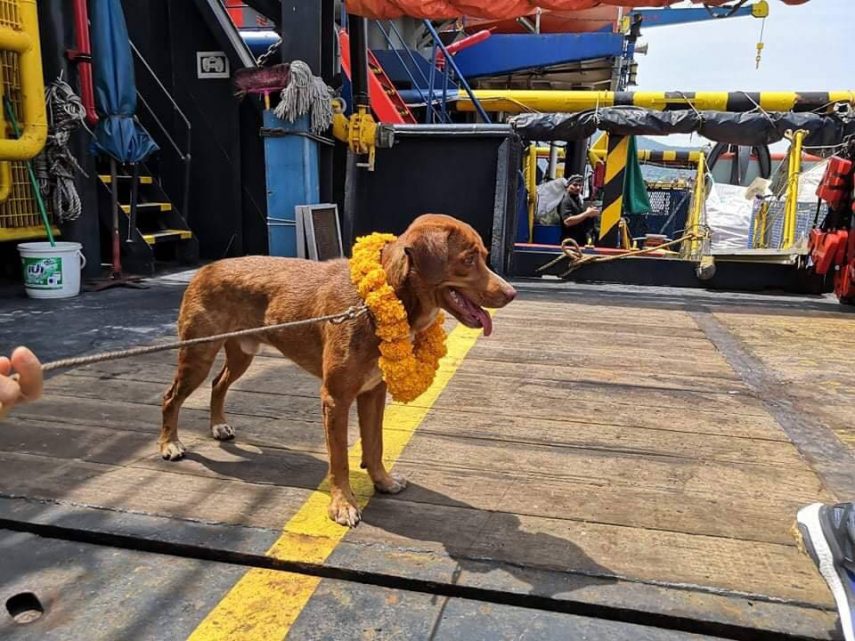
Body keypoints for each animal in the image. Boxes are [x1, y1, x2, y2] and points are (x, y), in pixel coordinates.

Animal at [162, 215, 516, 524]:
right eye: (468, 259)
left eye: (485, 257)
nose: (511, 293)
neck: (377, 301)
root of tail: (205, 268)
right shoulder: (336, 398)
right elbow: (340, 460)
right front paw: (343, 505)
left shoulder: (373, 392)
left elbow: (374, 444)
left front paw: (383, 482)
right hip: (198, 354)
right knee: (170, 397)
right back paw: (169, 444)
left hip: (241, 353)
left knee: (218, 384)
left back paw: (218, 425)